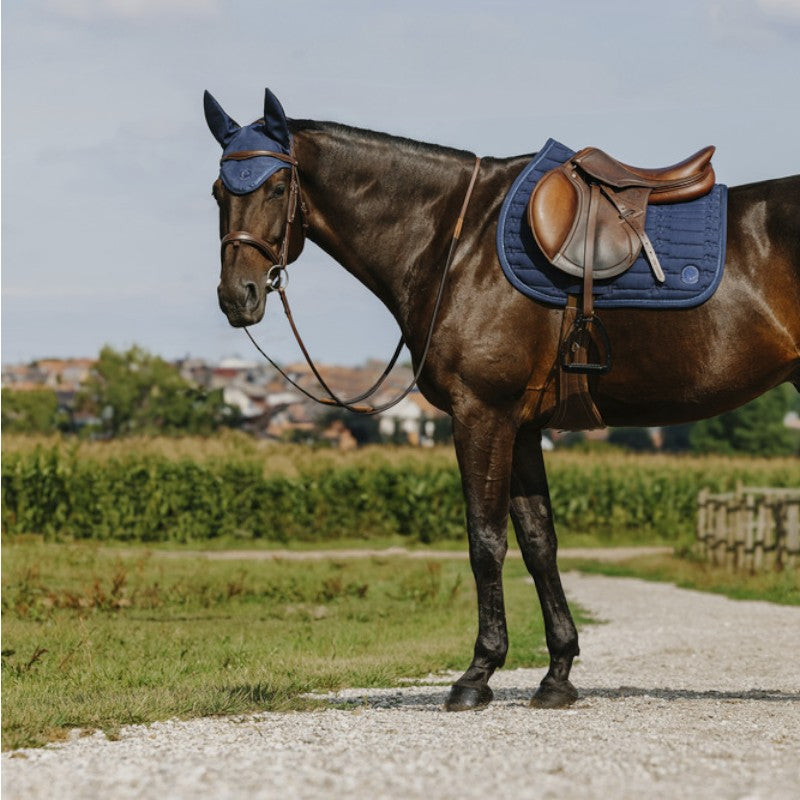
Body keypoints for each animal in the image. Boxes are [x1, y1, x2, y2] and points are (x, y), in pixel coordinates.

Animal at [205, 88, 800, 711]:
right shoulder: (522, 426)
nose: (237, 296)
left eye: (276, 187)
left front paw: (477, 673)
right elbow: (540, 543)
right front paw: (557, 674)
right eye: (219, 191)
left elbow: (485, 541)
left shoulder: (482, 414)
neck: (455, 241)